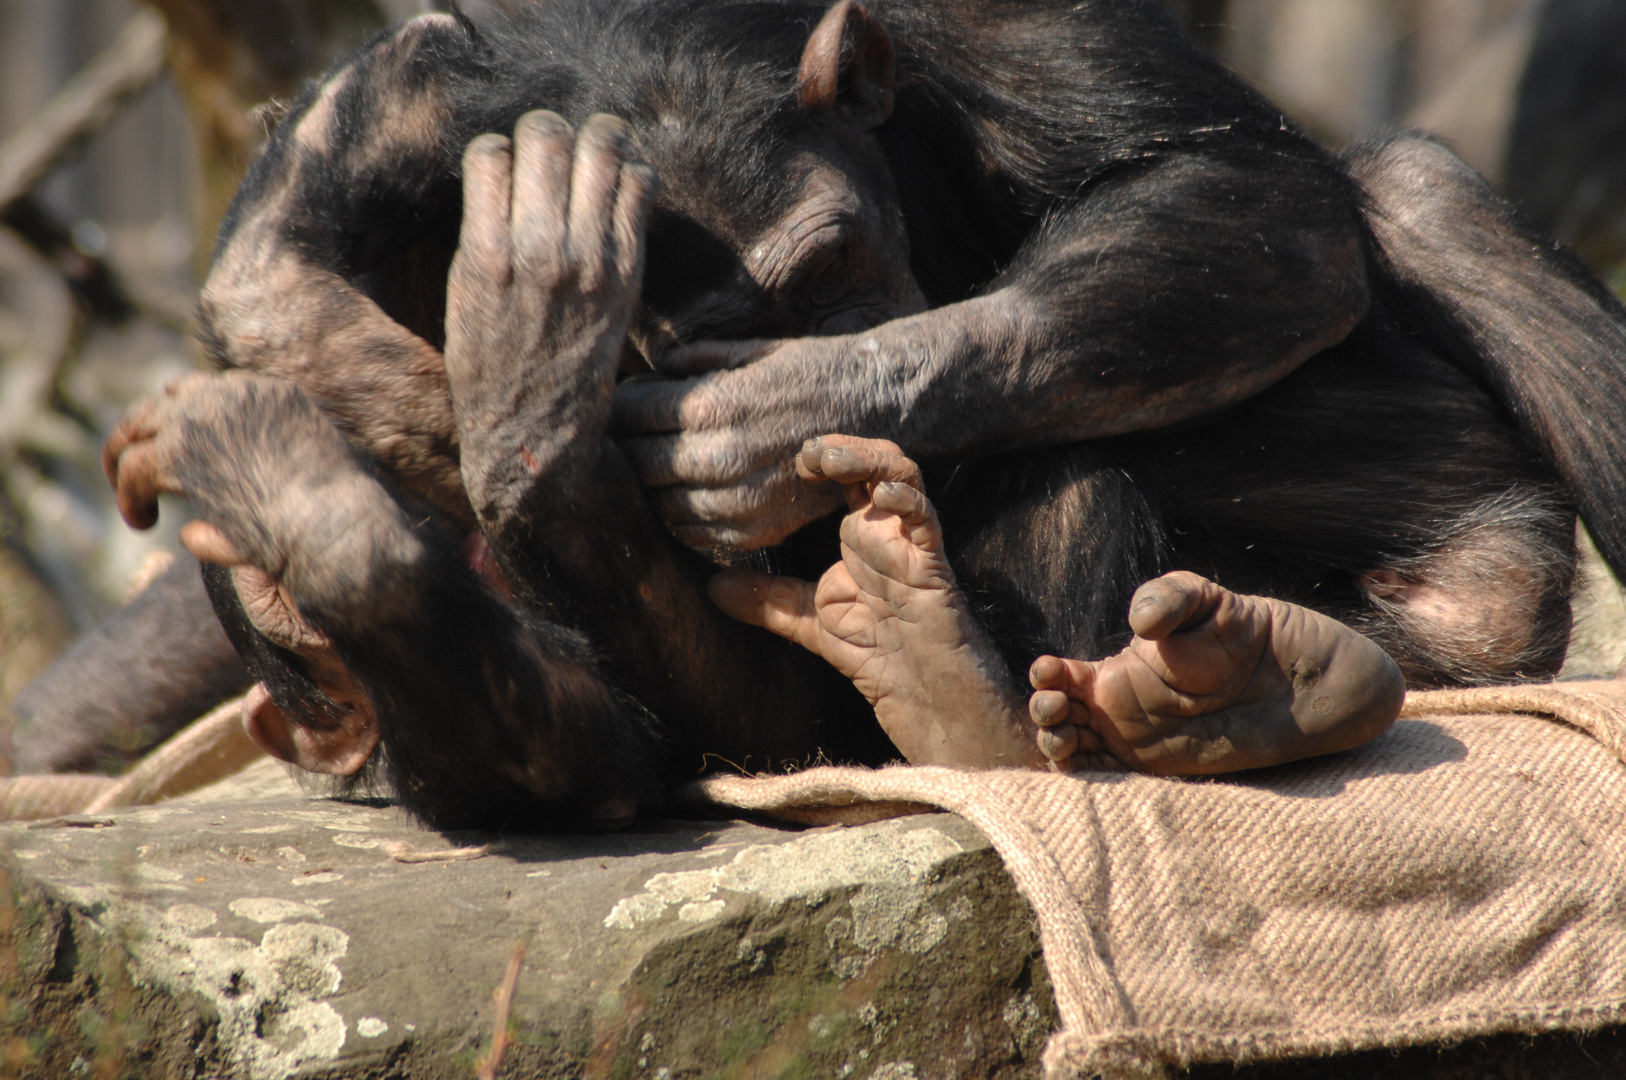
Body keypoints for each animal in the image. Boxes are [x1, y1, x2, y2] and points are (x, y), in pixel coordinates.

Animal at [25, 0, 1626, 826]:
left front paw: (752, 426)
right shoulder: (394, 99)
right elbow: (266, 281)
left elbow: (1236, 186)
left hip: (1478, 571)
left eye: (828, 263)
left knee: (1406, 200)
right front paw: (505, 396)